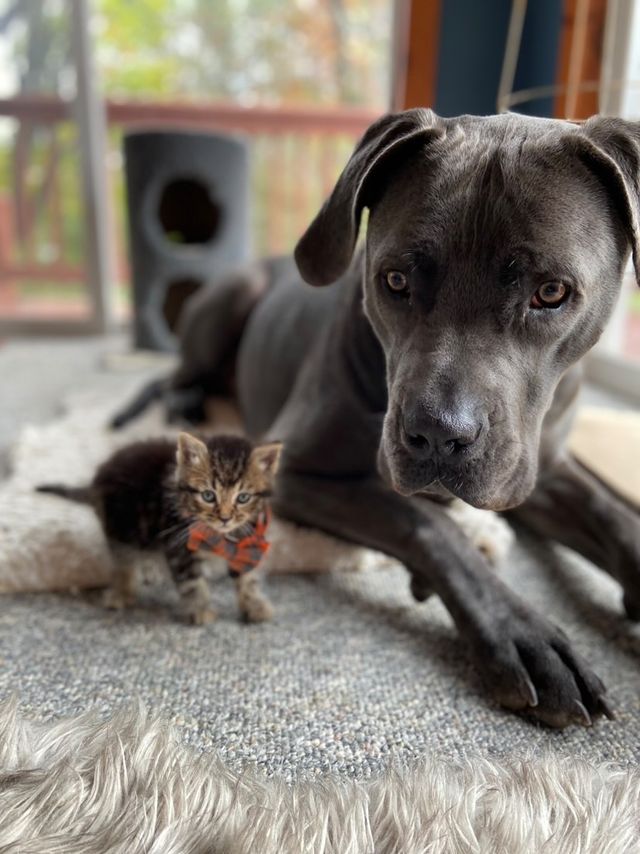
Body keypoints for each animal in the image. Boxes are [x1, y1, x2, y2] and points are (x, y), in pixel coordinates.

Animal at [37, 434, 282, 620]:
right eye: (208, 495)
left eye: (243, 498)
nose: (225, 518)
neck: (220, 535)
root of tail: (99, 476)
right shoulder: (178, 544)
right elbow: (191, 581)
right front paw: (201, 610)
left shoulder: (249, 543)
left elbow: (248, 578)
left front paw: (255, 606)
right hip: (121, 525)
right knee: (124, 560)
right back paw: (122, 592)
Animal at [115, 108, 640, 728]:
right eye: (394, 280)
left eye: (551, 293)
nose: (438, 435)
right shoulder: (297, 474)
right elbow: (428, 523)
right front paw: (522, 634)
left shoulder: (541, 466)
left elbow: (612, 515)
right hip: (228, 302)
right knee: (178, 376)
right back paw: (187, 404)